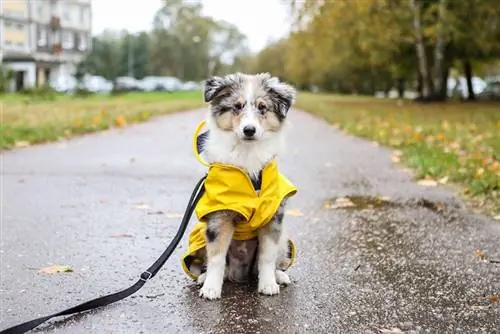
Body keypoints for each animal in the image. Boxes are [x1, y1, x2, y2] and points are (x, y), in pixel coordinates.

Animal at [189, 73, 294, 300]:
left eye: (262, 107)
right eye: (237, 106)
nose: (249, 130)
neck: (247, 154)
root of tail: (240, 272)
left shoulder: (273, 216)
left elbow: (267, 256)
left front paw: (268, 284)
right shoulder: (220, 216)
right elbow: (217, 256)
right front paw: (210, 288)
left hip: (283, 238)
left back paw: (279, 276)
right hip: (200, 234)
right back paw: (204, 277)